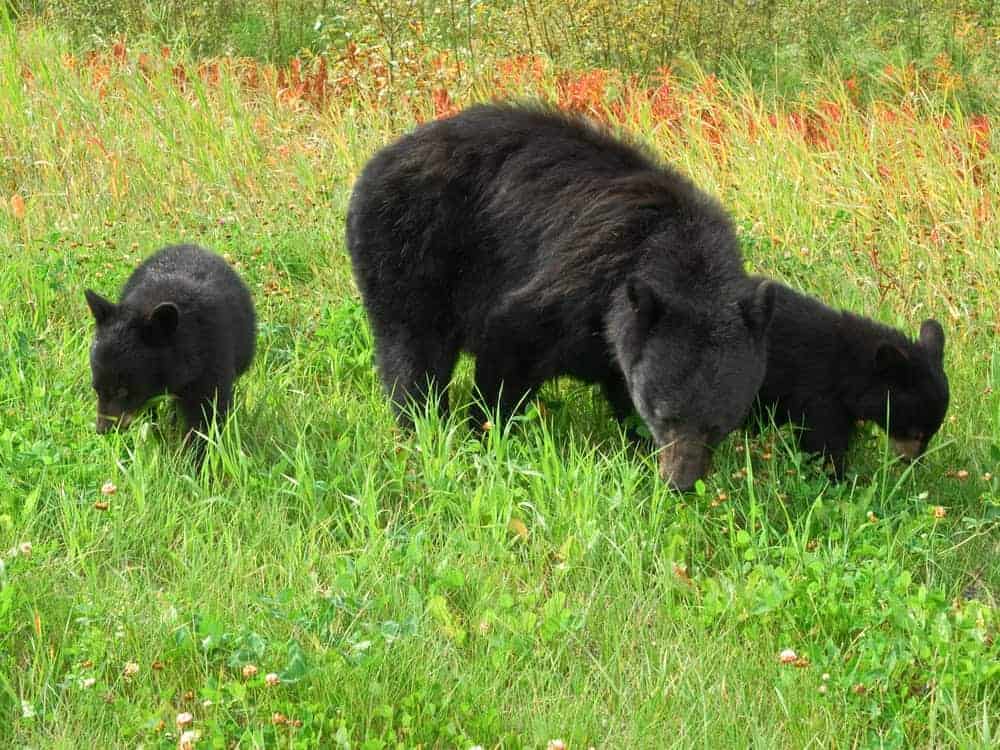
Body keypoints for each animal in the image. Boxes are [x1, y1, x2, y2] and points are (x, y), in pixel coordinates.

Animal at [346, 103, 776, 491]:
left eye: (717, 425)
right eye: (663, 415)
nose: (680, 482)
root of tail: (375, 162)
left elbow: (621, 380)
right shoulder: (579, 284)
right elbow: (511, 342)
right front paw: (487, 436)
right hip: (409, 250)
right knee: (413, 352)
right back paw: (423, 425)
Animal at [747, 276, 949, 477]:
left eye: (932, 432)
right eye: (917, 433)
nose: (914, 461)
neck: (848, 371)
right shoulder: (816, 392)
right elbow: (822, 439)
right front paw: (838, 476)